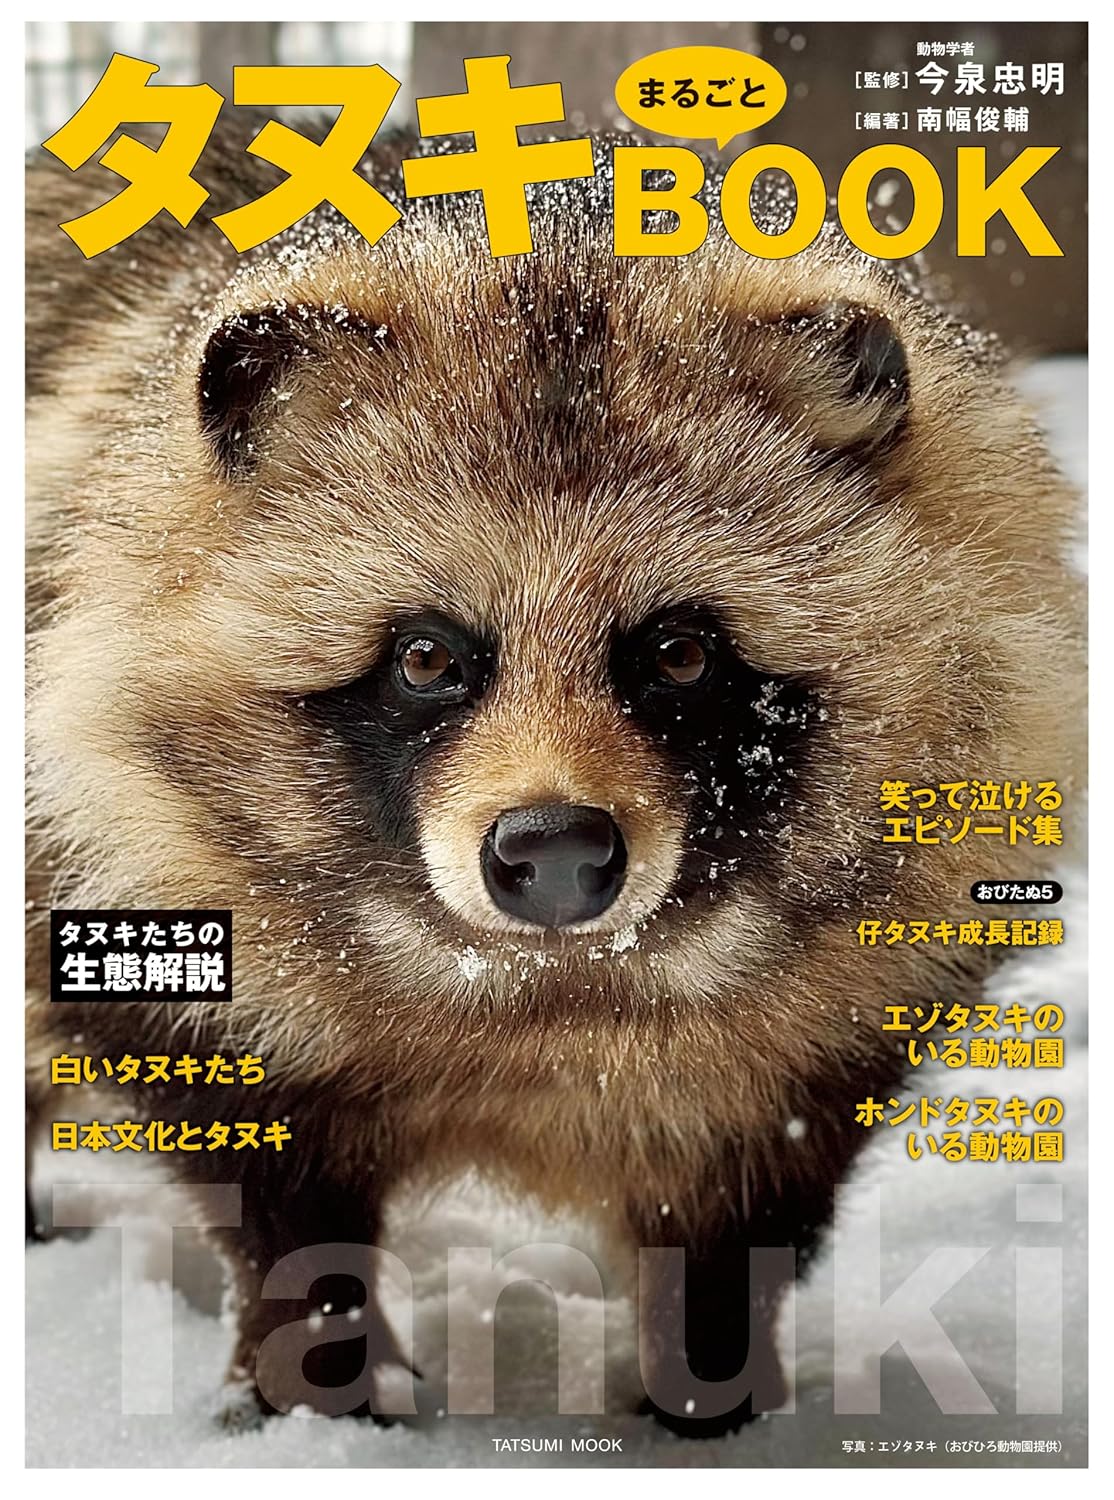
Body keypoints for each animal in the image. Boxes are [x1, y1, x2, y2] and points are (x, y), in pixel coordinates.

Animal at [26, 123, 1084, 1436]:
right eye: (428, 657)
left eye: (677, 654)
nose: (555, 851)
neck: (546, 996)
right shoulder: (147, 881)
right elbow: (276, 1212)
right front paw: (316, 1386)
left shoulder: (858, 991)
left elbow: (745, 1208)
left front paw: (709, 1399)